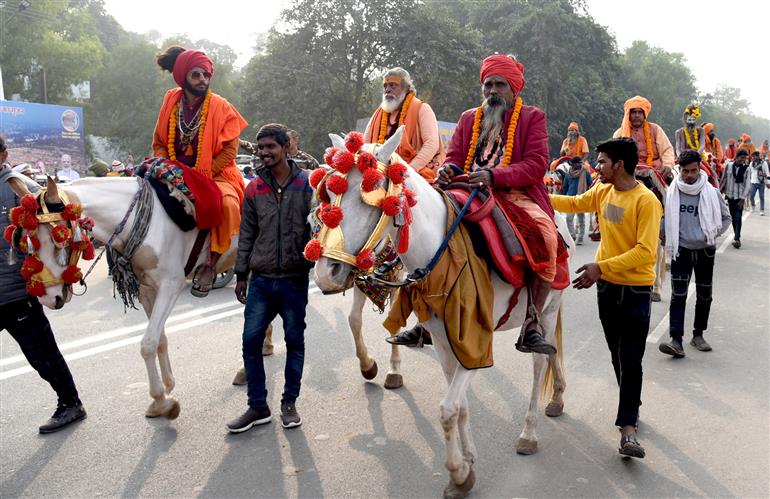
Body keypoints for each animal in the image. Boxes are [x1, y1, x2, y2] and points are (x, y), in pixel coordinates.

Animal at [310, 131, 568, 498]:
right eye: (328, 194)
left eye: (369, 196)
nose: (325, 274)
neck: (442, 250)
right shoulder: (446, 342)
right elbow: (459, 407)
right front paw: (468, 463)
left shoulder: (476, 344)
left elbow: (447, 409)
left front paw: (457, 473)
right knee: (552, 353)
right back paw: (557, 397)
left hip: (548, 307)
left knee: (539, 360)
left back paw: (529, 433)